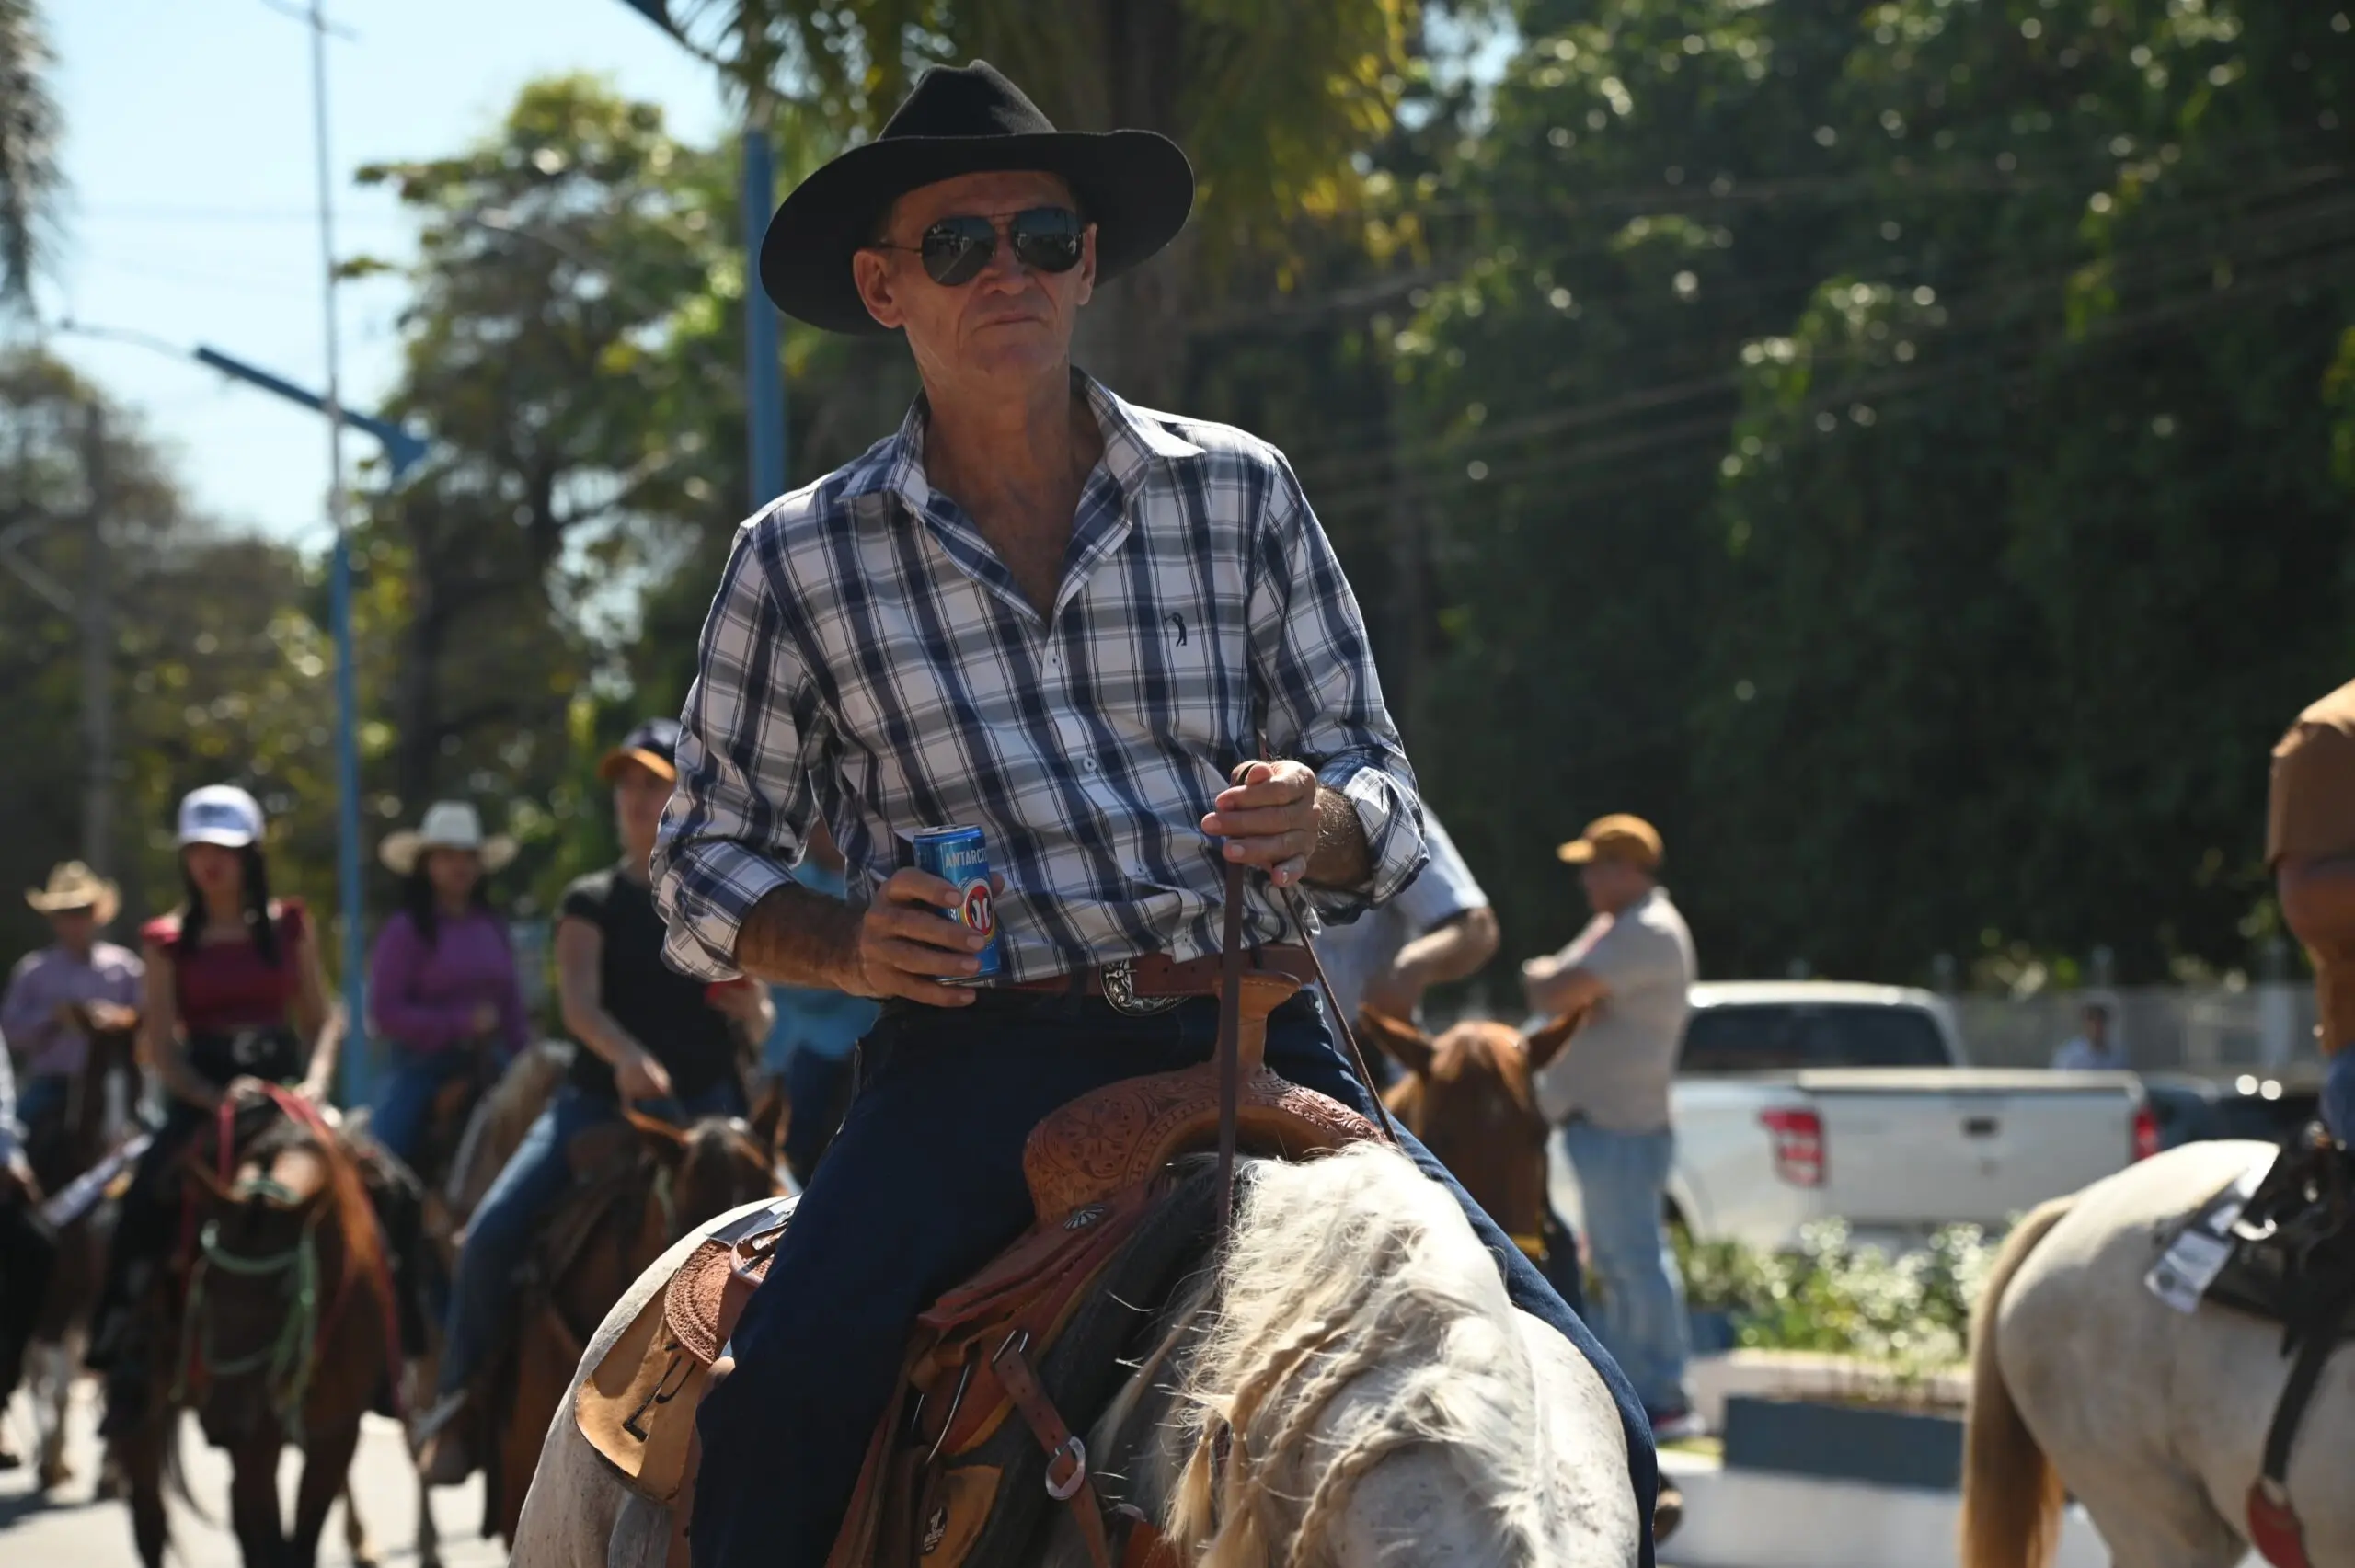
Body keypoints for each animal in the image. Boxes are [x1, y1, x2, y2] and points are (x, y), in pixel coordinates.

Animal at [19, 1003, 143, 1491]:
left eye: (136, 1075)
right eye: (95, 1085)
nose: (120, 1146)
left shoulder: (108, 1300)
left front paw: (114, 1468)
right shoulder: (56, 1298)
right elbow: (55, 1383)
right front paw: (53, 1460)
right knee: (41, 1370)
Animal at [112, 1089, 406, 1568]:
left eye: (286, 1293)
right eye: (204, 1279)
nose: (224, 1422)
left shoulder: (336, 1432)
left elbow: (297, 1542)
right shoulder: (256, 1443)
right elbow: (270, 1541)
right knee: (150, 1517)